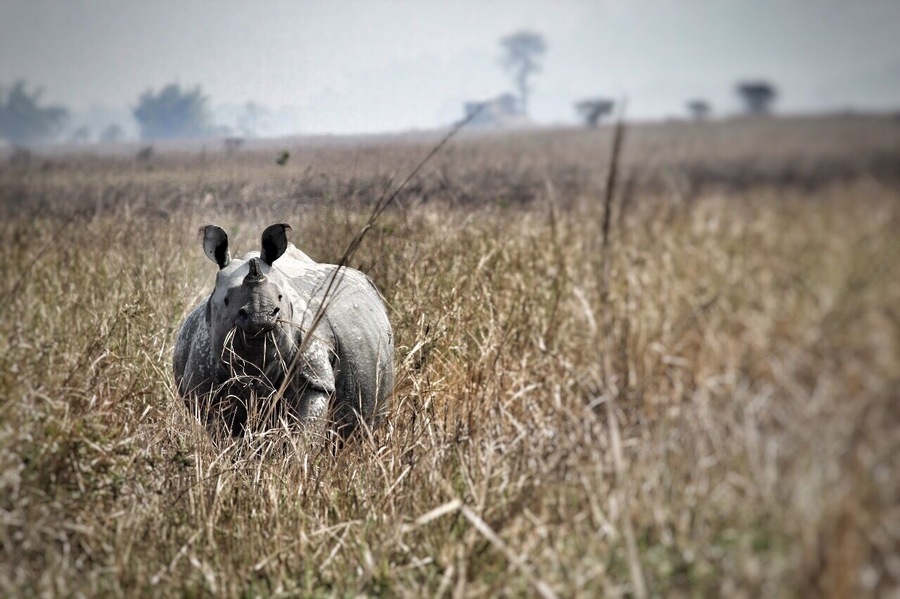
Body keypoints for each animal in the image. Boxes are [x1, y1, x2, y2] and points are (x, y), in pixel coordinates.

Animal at [173, 223, 394, 441]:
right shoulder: (205, 386)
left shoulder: (314, 372)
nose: (261, 316)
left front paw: (300, 451)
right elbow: (223, 431)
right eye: (226, 301)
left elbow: (308, 426)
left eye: (280, 298)